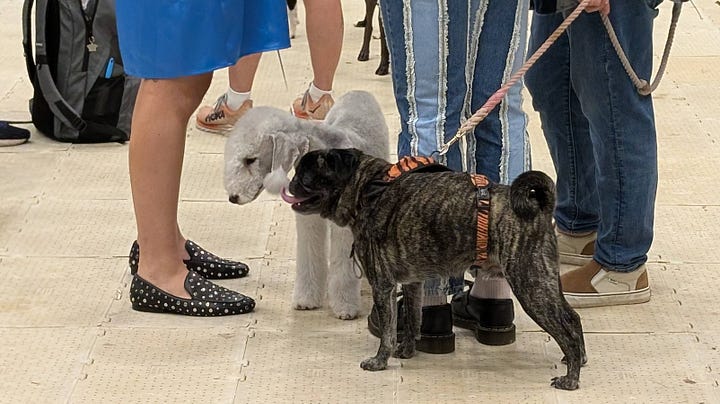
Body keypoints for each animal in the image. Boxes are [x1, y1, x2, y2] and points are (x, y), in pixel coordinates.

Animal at [224, 91, 389, 320]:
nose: (233, 197)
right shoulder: (308, 219)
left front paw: (345, 307)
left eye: (250, 159)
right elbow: (309, 255)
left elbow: (342, 265)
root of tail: (359, 93)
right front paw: (306, 300)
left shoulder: (343, 227)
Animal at [283, 148, 587, 390]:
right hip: (544, 281)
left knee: (566, 329)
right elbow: (412, 319)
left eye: (304, 178)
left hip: (530, 287)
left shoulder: (382, 284)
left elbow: (388, 331)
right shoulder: (412, 283)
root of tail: (539, 207)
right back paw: (578, 359)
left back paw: (571, 378)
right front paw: (407, 351)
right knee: (572, 318)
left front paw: (380, 360)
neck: (368, 187)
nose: (290, 183)